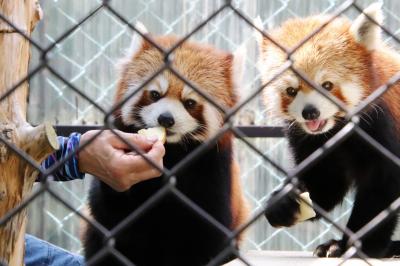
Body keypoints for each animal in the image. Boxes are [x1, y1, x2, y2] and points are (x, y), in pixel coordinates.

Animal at [83, 23, 248, 266]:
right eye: (154, 94)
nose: (166, 119)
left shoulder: (214, 171)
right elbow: (108, 213)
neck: (172, 153)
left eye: (190, 103)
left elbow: (208, 236)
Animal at [256, 2, 400, 258]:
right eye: (291, 90)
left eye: (327, 85)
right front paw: (283, 204)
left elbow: (382, 186)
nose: (310, 113)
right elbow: (325, 184)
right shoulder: (310, 140)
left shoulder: (381, 126)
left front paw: (357, 246)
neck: (337, 130)